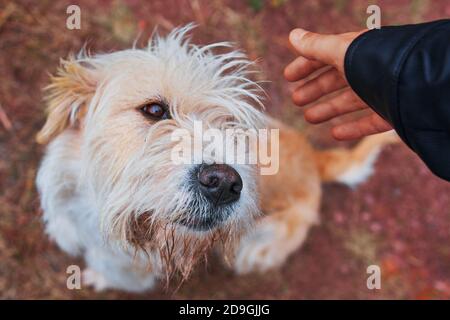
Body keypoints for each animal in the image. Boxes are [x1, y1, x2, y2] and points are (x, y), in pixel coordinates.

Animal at [37, 25, 400, 292]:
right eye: (153, 110)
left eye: (232, 126)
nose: (224, 183)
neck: (94, 211)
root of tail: (314, 158)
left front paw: (99, 278)